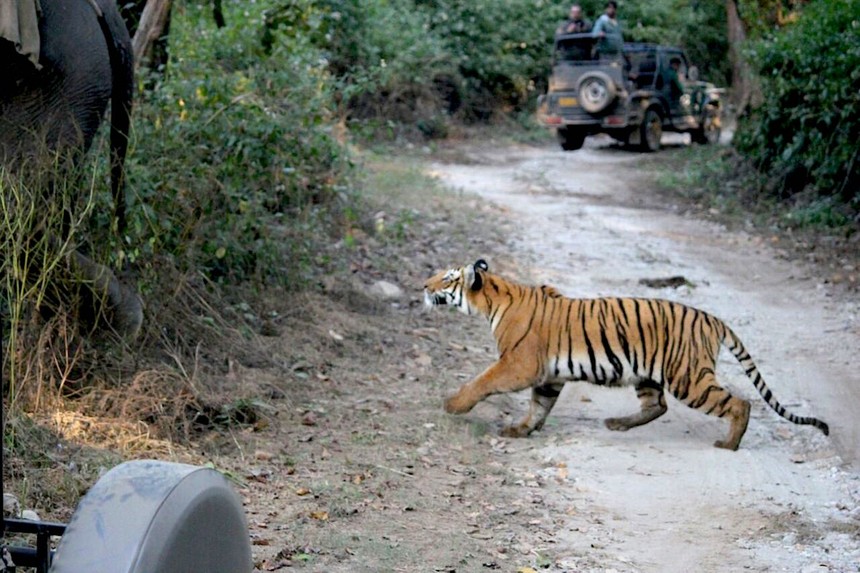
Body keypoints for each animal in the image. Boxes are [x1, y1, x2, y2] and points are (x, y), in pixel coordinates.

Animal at [424, 256, 828, 450]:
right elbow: (539, 405)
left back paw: (729, 444)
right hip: (649, 375)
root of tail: (713, 319)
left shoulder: (519, 364)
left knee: (739, 403)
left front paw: (453, 405)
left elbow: (482, 380)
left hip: (689, 378)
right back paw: (618, 424)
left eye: (447, 278)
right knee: (657, 406)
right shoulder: (549, 375)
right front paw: (521, 430)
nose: (424, 285)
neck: (494, 299)